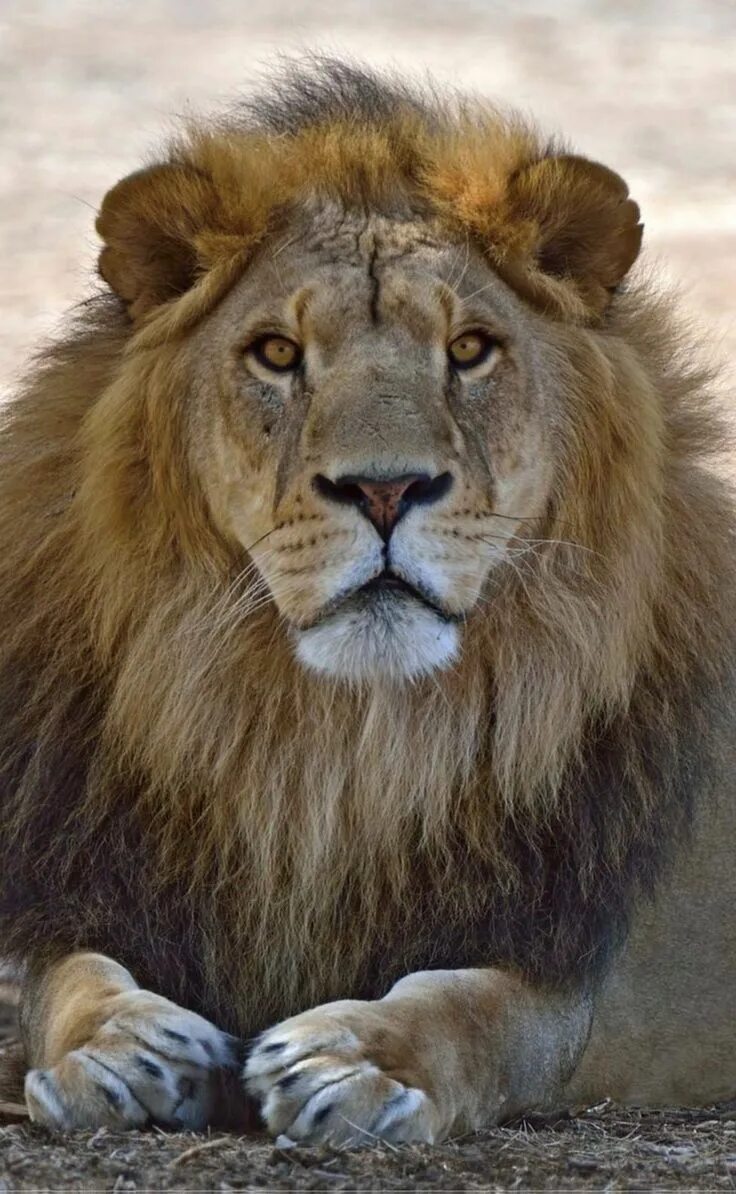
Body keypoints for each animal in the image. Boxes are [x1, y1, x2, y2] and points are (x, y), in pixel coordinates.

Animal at [0, 58, 734, 1143]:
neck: (339, 751)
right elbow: (70, 976)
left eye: (470, 349)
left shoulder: (583, 968)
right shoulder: (91, 885)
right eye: (276, 353)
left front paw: (351, 1056)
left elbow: (476, 1006)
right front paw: (118, 1049)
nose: (385, 490)